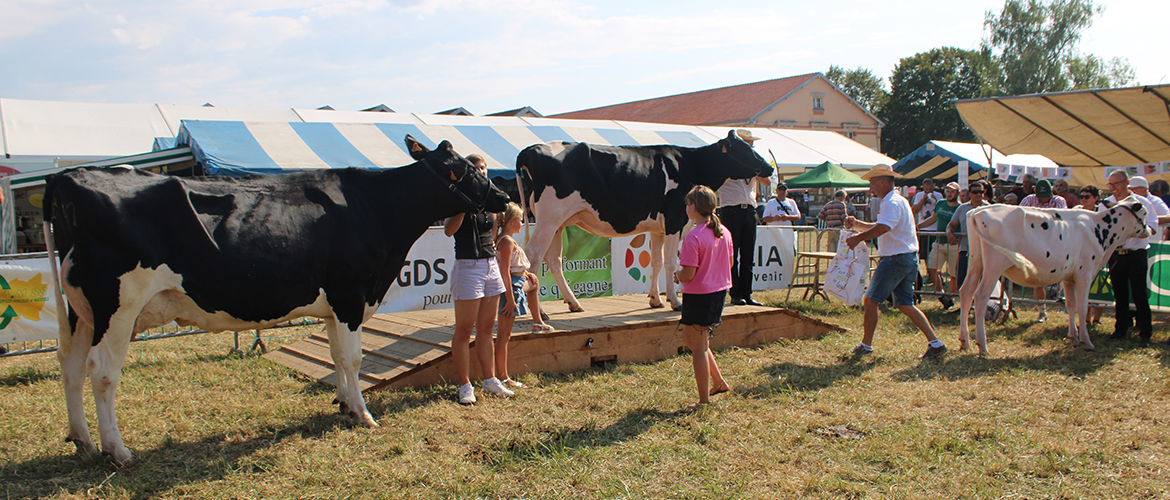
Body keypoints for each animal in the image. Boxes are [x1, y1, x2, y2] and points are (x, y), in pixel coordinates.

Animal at [43, 138, 510, 466]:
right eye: (462, 169)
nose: (504, 197)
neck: (377, 210)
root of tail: (69, 178)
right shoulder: (351, 295)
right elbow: (354, 358)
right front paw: (363, 414)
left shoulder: (333, 305)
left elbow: (337, 356)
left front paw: (344, 405)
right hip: (118, 305)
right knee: (102, 371)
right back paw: (117, 450)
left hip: (81, 312)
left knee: (69, 366)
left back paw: (82, 441)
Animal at [517, 129, 772, 311]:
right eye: (745, 150)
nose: (769, 167)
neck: (690, 164)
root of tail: (530, 149)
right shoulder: (675, 220)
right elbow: (670, 262)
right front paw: (674, 301)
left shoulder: (658, 228)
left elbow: (656, 261)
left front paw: (655, 299)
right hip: (549, 218)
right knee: (533, 256)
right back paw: (540, 313)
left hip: (557, 223)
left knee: (553, 260)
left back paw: (573, 303)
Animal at [954, 200, 1155, 355]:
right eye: (1144, 212)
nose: (1152, 229)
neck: (1099, 229)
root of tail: (978, 210)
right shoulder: (1085, 274)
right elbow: (1083, 307)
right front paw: (1087, 341)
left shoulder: (1068, 277)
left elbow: (1071, 305)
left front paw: (1073, 337)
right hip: (995, 264)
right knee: (980, 296)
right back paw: (982, 346)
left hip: (976, 261)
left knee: (966, 291)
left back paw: (965, 342)